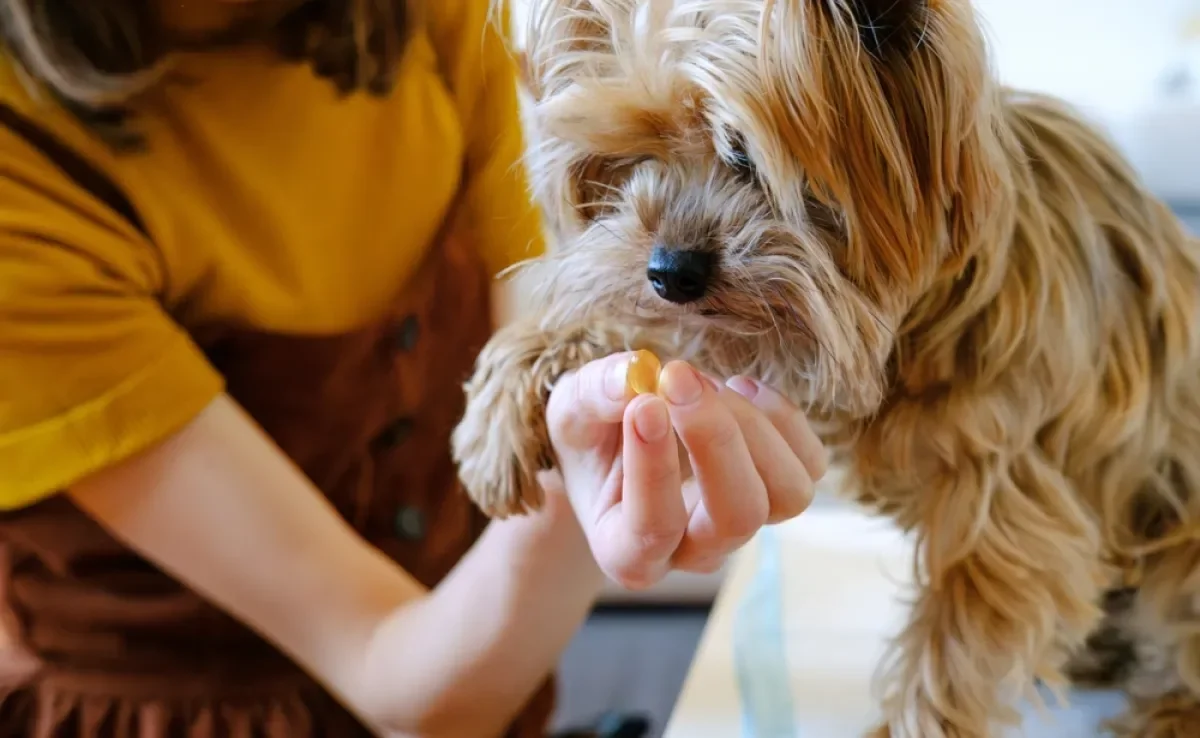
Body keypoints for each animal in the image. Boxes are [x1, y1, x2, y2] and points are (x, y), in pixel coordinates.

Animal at [448, 2, 1200, 734]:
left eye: (744, 154)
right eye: (631, 155)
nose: (670, 272)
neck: (918, 324)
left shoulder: (1009, 507)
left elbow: (947, 660)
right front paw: (507, 398)